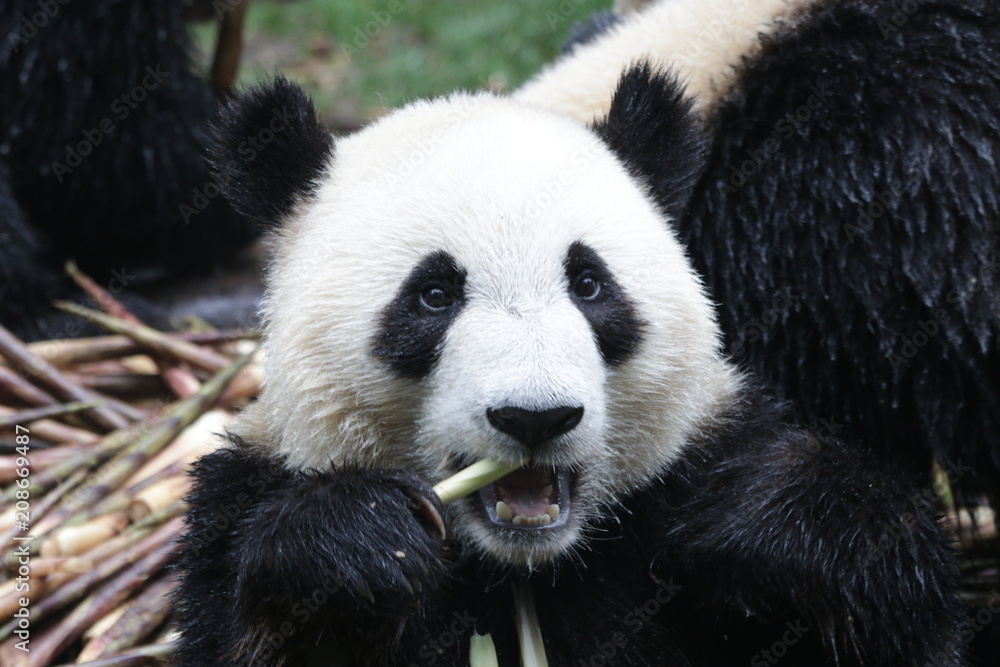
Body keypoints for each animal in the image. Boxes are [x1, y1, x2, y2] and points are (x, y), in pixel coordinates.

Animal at [176, 74, 964, 666]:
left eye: (589, 284)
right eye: (433, 295)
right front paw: (359, 542)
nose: (536, 417)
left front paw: (774, 524)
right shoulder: (241, 497)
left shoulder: (690, 472)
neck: (524, 567)